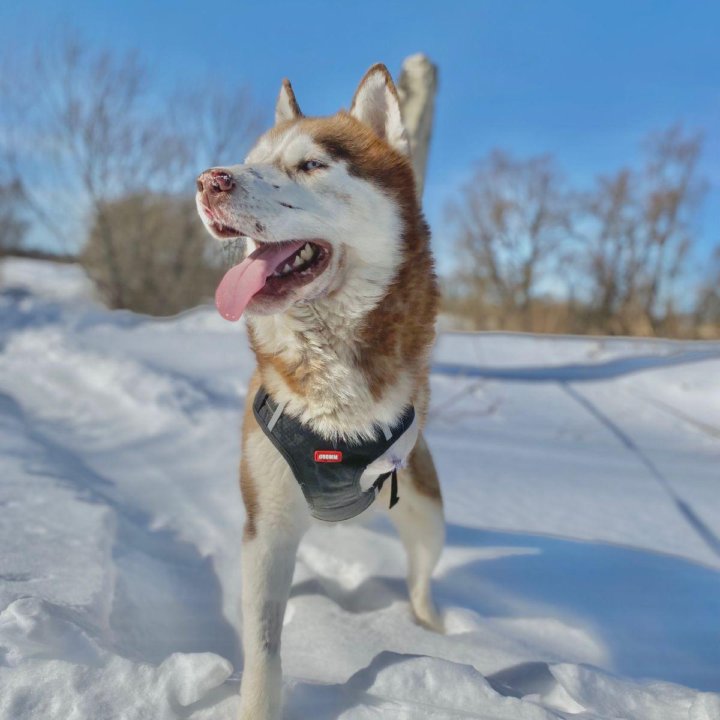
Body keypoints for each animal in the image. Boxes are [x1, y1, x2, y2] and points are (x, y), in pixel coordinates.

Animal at [197, 64, 444, 716]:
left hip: (427, 512)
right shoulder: (267, 526)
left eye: (310, 165)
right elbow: (263, 648)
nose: (209, 181)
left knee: (421, 580)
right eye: (253, 160)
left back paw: (437, 632)